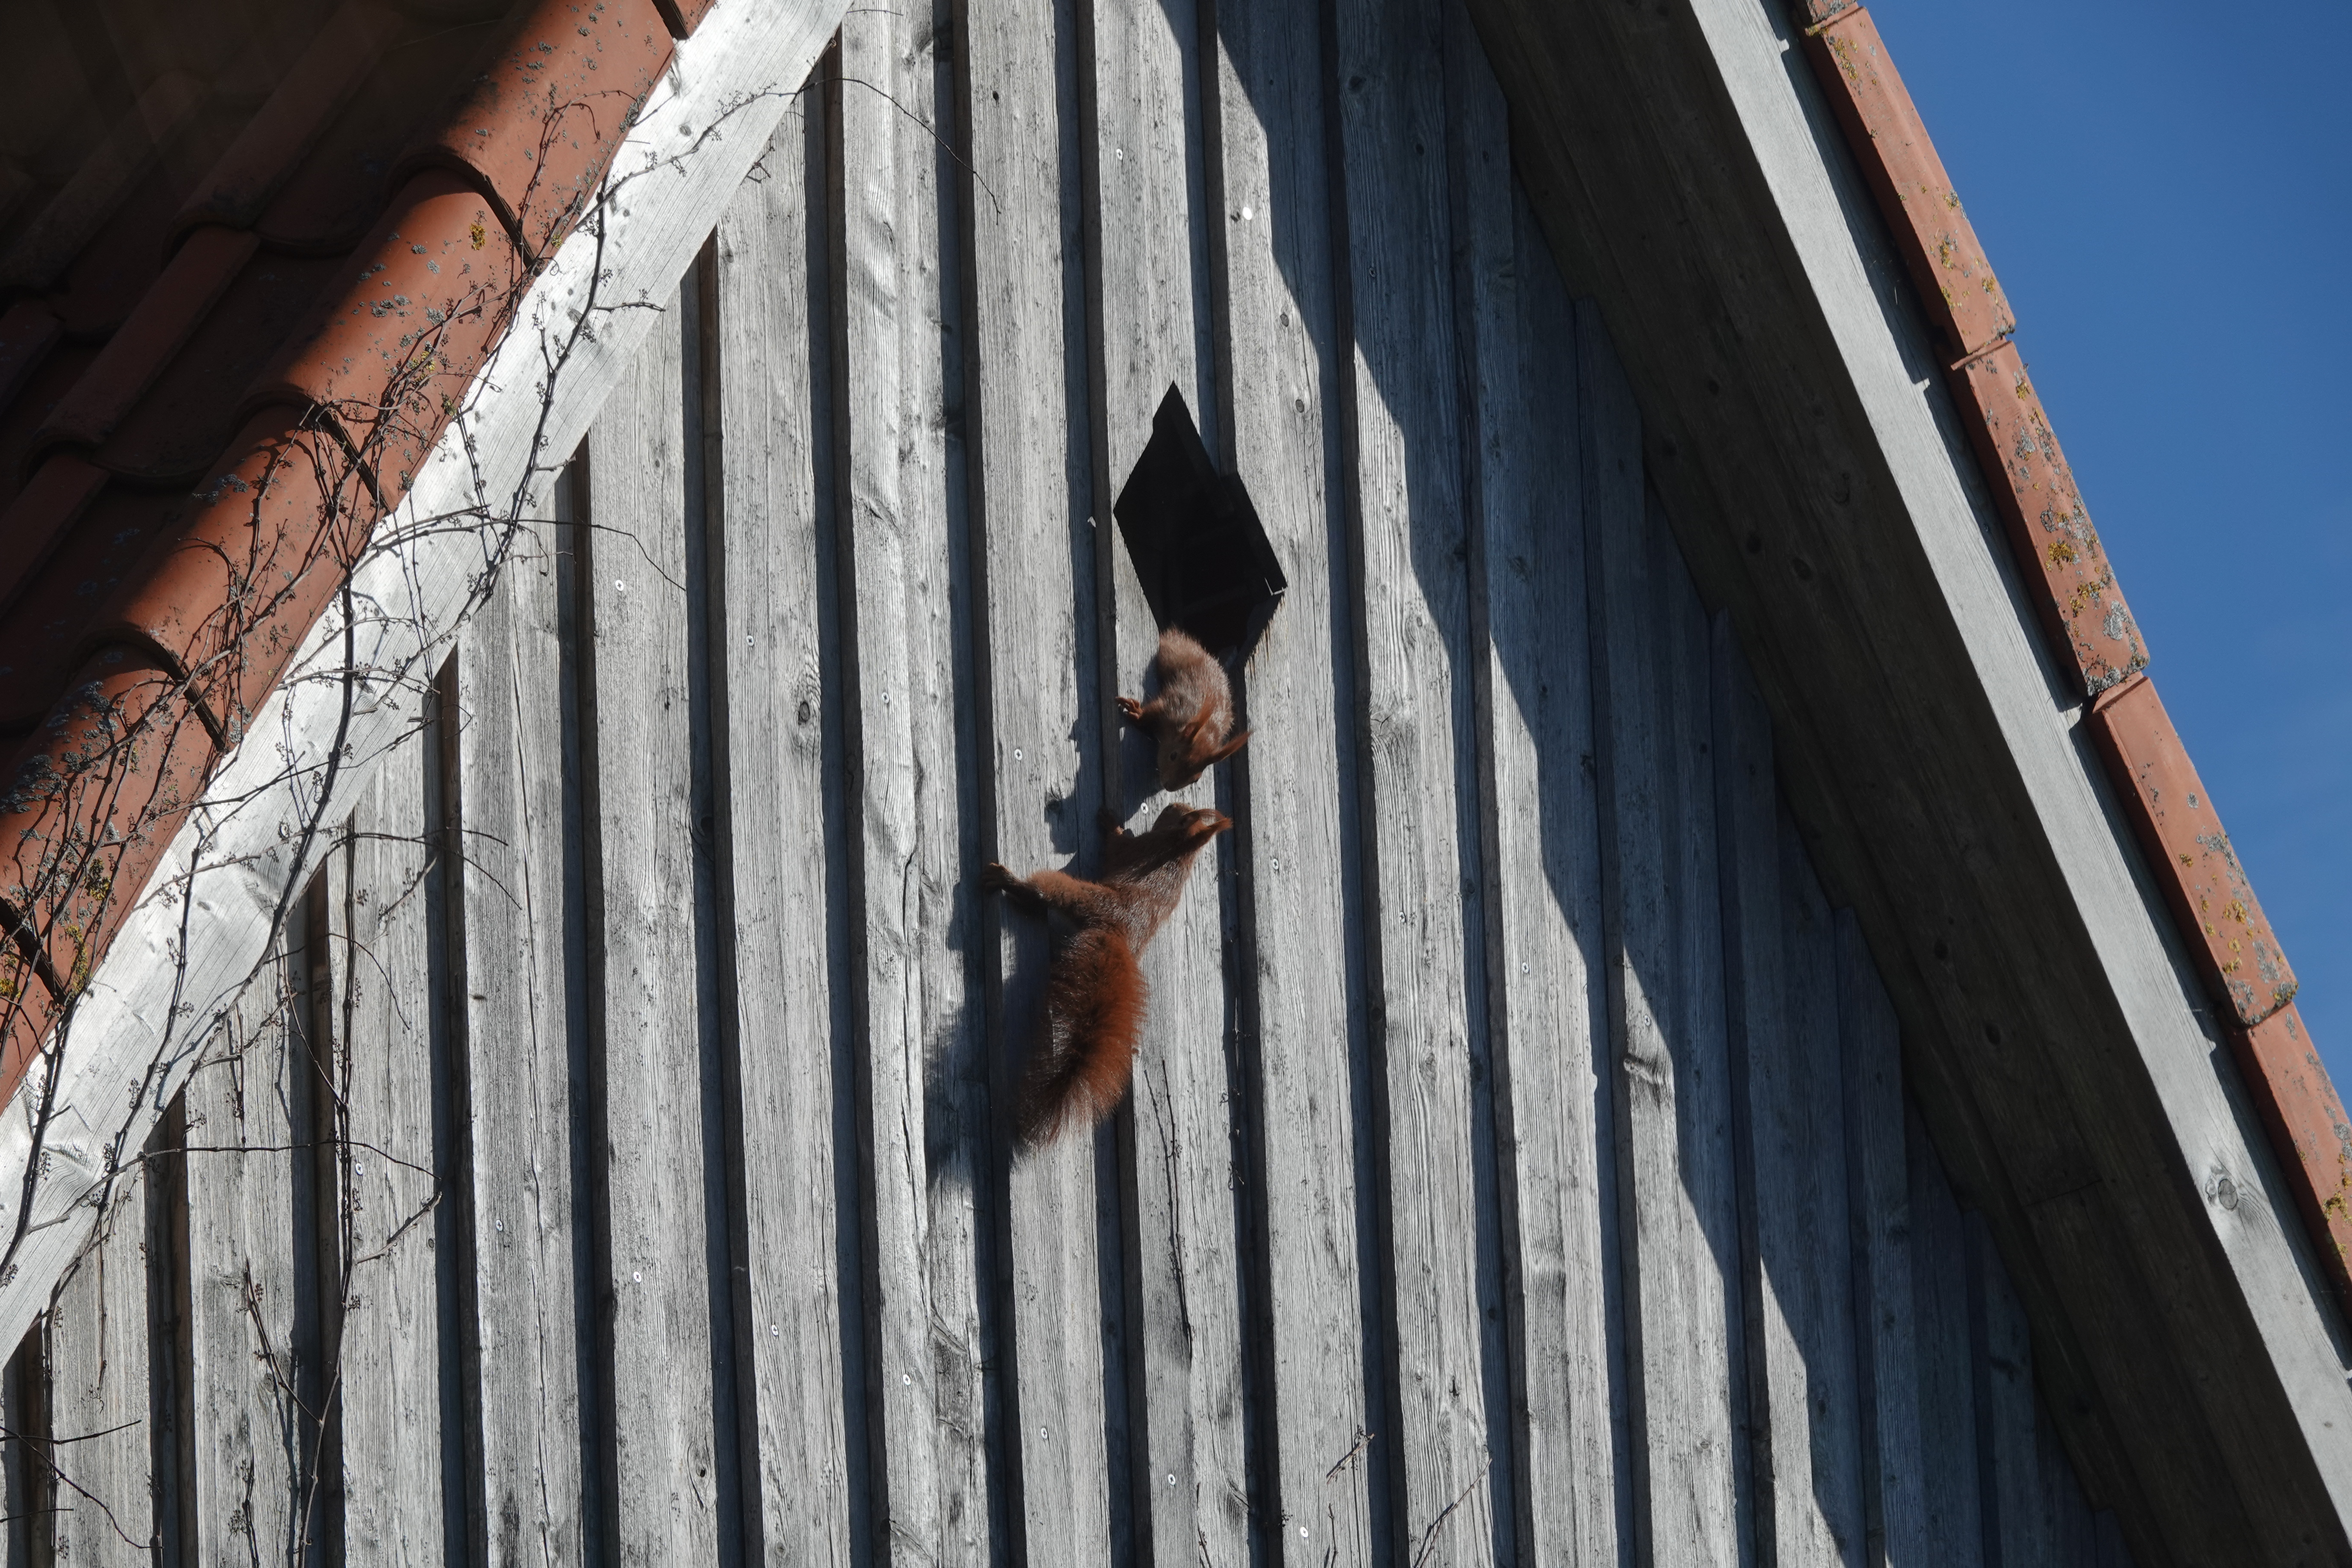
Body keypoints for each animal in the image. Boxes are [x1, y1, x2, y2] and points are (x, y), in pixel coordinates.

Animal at [981, 802, 1233, 1148]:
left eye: (1179, 812)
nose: (1169, 805)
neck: (1180, 851)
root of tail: (1120, 936)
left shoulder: (1139, 849)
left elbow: (1117, 846)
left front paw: (1111, 823)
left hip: (1085, 897)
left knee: (1048, 894)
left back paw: (1011, 882)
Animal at [1116, 627, 1250, 790]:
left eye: (1196, 780)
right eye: (1173, 756)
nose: (1168, 787)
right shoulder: (1174, 703)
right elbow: (1153, 711)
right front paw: (1137, 712)